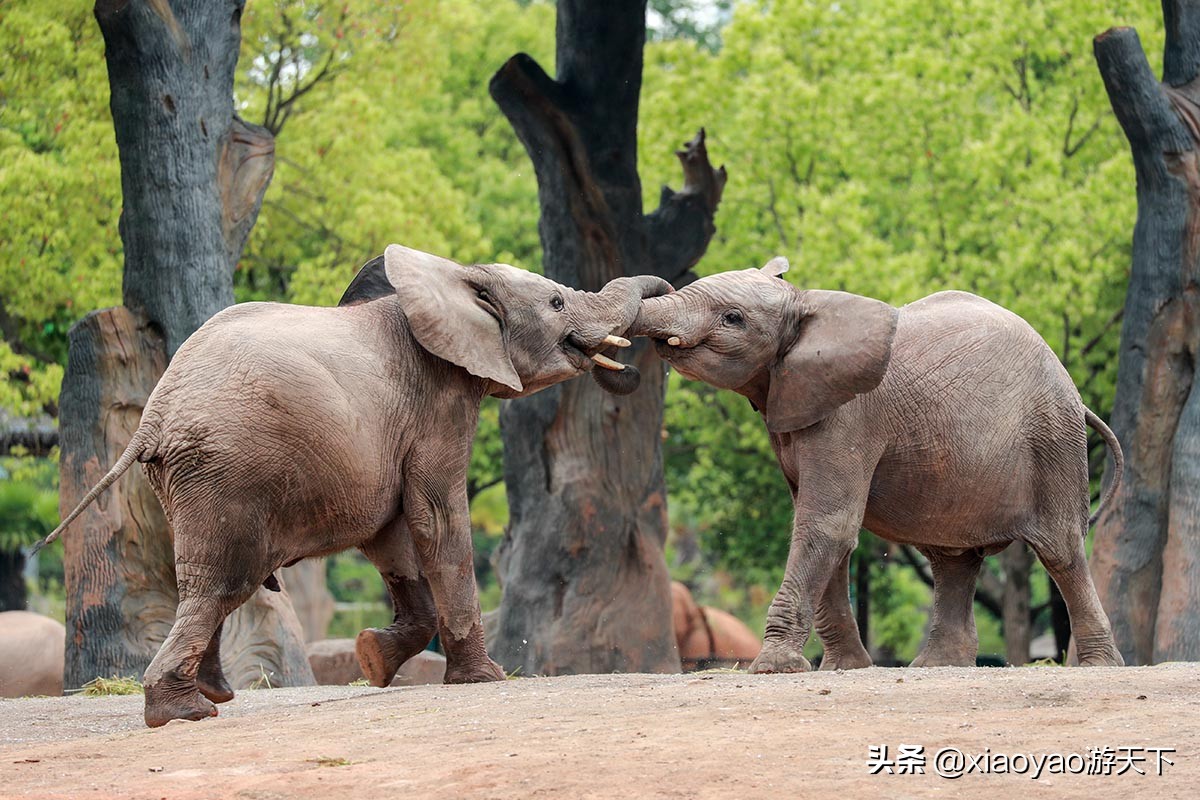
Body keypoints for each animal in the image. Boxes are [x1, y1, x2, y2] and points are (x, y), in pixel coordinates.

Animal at [37, 244, 672, 724]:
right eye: (558, 302)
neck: (452, 278)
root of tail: (153, 418)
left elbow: (392, 537)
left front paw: (372, 660)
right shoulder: (438, 402)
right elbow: (437, 517)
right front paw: (485, 680)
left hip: (183, 480)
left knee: (205, 583)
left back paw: (213, 694)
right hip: (222, 472)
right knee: (221, 585)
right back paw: (186, 712)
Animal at [628, 260, 1123, 671]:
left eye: (733, 318)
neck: (807, 304)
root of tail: (1073, 390)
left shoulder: (849, 415)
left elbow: (826, 525)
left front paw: (772, 669)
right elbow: (821, 527)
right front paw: (843, 669)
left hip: (1053, 438)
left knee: (1060, 550)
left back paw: (1099, 666)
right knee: (953, 560)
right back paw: (936, 667)